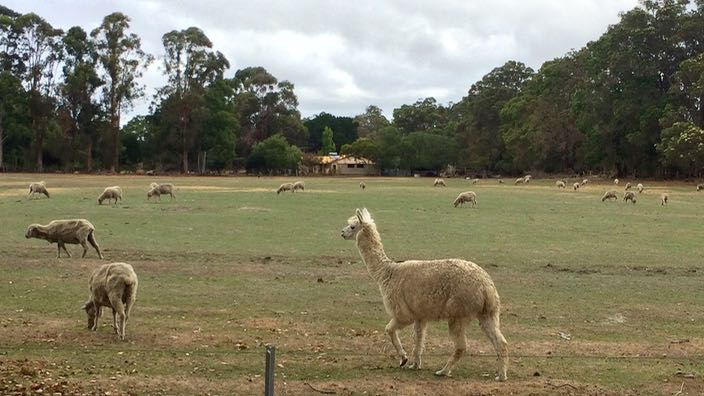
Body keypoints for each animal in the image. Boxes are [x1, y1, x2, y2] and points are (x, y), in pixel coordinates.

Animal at [340, 209, 506, 378]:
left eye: (352, 226)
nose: (342, 233)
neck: (387, 273)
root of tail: (486, 287)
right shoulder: (420, 315)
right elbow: (418, 338)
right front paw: (415, 364)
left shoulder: (403, 313)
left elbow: (389, 329)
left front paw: (404, 359)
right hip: (487, 312)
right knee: (501, 342)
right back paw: (501, 375)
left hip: (458, 312)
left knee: (461, 346)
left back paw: (443, 371)